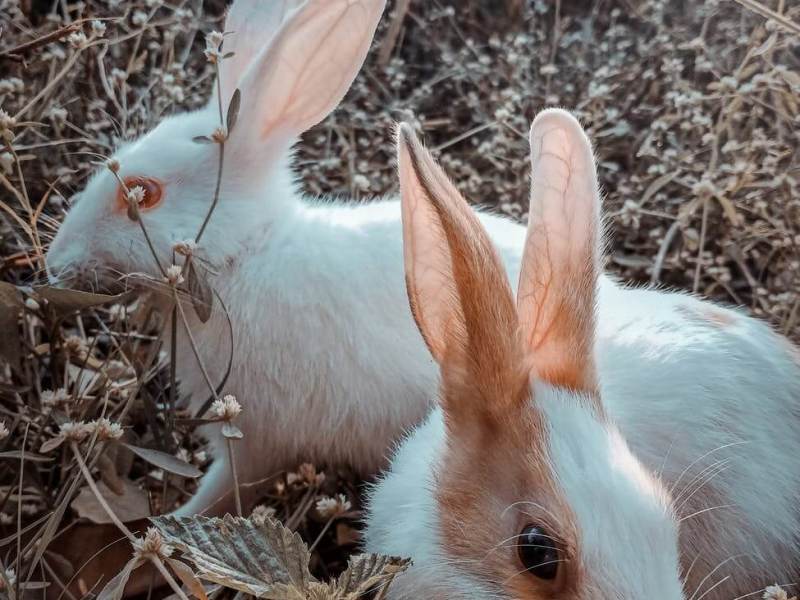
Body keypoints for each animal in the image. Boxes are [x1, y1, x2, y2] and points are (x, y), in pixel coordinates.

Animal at [44, 0, 531, 520]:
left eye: (142, 193)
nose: (55, 261)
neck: (246, 250)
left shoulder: (258, 439)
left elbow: (224, 489)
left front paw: (169, 522)